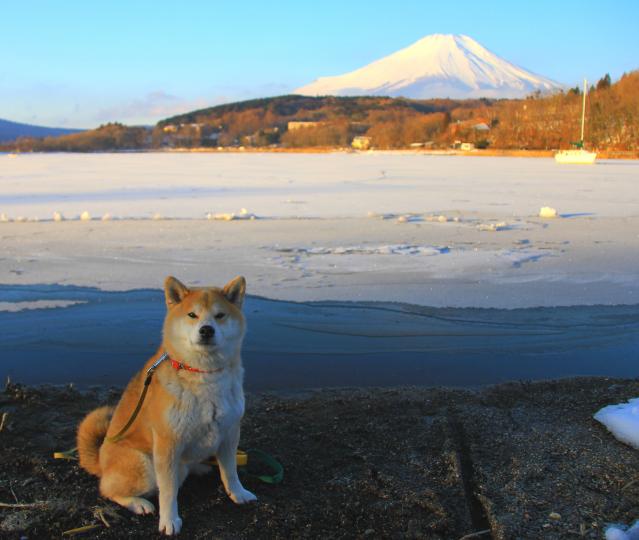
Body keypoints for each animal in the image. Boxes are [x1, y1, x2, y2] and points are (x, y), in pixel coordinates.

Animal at [75, 276, 255, 532]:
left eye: (220, 315)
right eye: (192, 315)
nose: (206, 330)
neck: (203, 375)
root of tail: (101, 462)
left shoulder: (230, 433)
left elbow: (230, 471)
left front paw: (238, 493)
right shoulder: (167, 444)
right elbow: (168, 492)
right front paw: (169, 520)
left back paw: (199, 466)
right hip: (144, 466)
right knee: (108, 489)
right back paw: (138, 503)